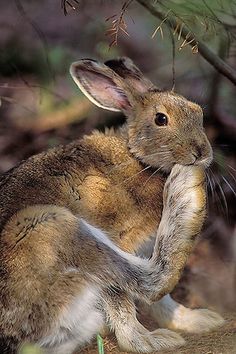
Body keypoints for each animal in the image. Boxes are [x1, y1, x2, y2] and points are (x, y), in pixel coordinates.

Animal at [0, 56, 224, 352]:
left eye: (198, 112)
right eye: (161, 119)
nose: (201, 153)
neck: (137, 157)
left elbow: (163, 302)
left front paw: (191, 321)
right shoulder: (117, 238)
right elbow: (123, 298)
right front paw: (146, 341)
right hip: (48, 225)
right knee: (152, 280)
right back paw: (185, 192)